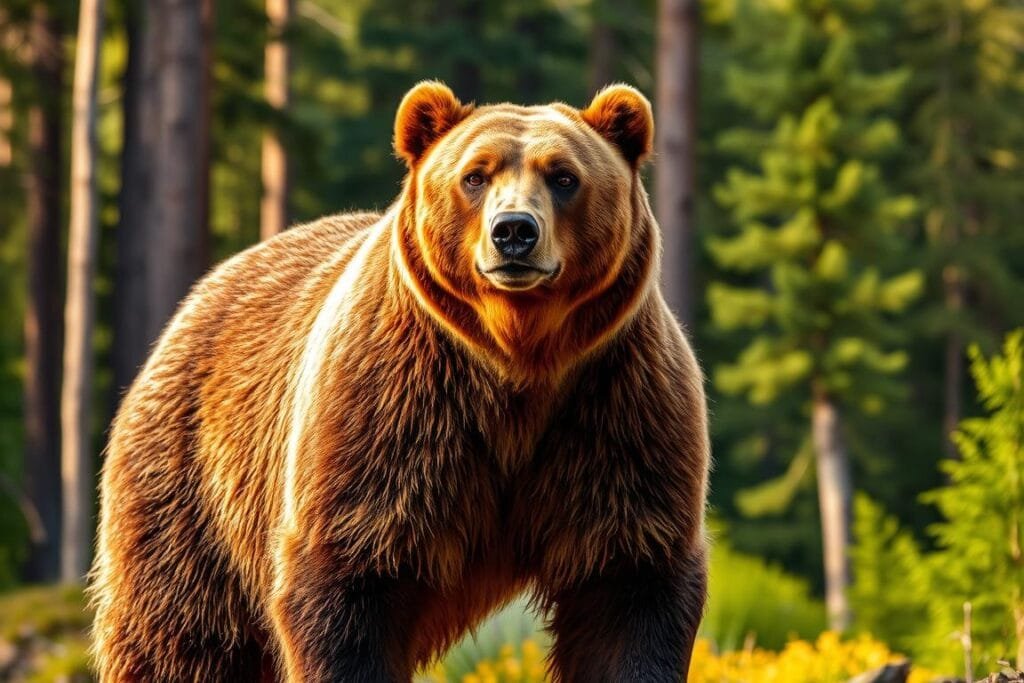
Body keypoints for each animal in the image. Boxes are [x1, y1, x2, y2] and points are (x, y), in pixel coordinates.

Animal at [89, 81, 710, 682]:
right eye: (475, 175)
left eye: (564, 176)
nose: (513, 232)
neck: (518, 357)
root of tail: (202, 293)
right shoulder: (394, 414)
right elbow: (349, 578)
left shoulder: (615, 411)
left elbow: (628, 591)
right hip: (194, 484)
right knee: (183, 634)